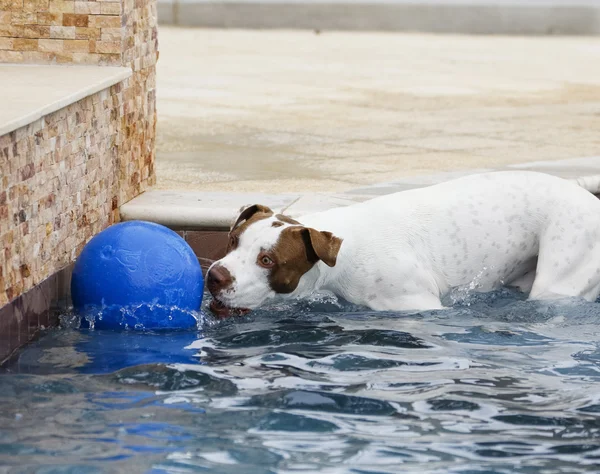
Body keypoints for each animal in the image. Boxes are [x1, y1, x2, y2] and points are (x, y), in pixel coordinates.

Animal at [206, 171, 600, 318]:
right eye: (233, 240)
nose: (215, 275)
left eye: (268, 260)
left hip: (561, 273)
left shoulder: (418, 303)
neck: (343, 255)